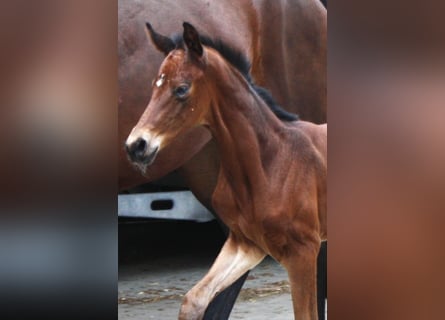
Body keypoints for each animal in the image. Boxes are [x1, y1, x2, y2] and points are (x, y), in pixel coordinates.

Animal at [125, 22, 326, 320]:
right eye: (154, 86)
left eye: (181, 89)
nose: (136, 146)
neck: (269, 161)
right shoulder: (245, 243)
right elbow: (194, 300)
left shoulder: (303, 251)